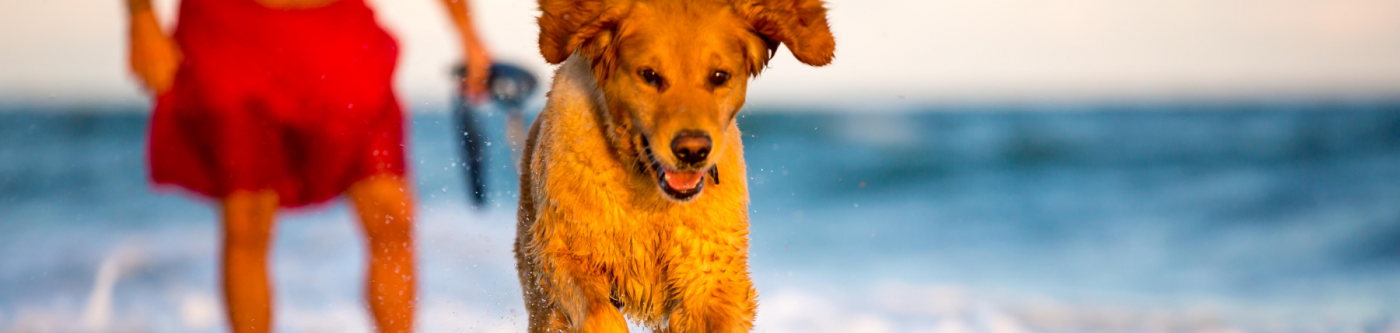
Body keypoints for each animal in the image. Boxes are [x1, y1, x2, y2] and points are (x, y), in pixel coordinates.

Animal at [515, 0, 834, 330]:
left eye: (719, 76)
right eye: (650, 75)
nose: (692, 150)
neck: (649, 191)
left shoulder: (712, 272)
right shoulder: (564, 249)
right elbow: (599, 313)